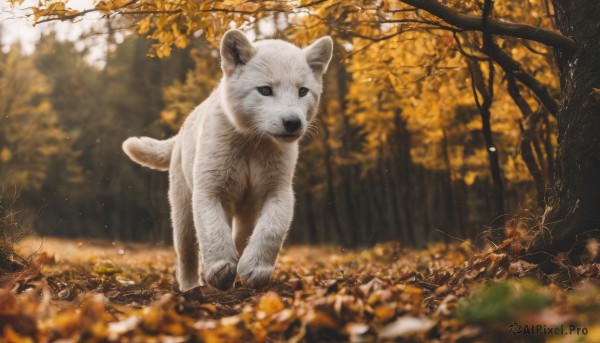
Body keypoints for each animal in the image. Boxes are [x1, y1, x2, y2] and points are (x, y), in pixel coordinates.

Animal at [122, 30, 332, 292]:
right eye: (265, 90)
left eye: (302, 91)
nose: (293, 122)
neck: (252, 144)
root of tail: (180, 133)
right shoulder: (210, 188)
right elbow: (213, 230)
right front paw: (220, 269)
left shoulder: (278, 189)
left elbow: (272, 228)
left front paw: (254, 269)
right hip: (182, 206)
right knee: (186, 252)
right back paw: (192, 287)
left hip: (244, 208)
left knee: (241, 234)